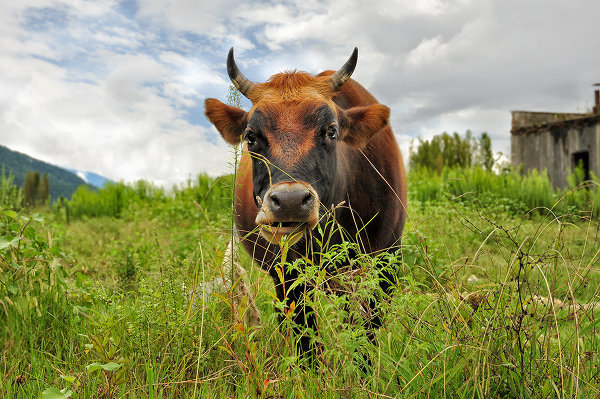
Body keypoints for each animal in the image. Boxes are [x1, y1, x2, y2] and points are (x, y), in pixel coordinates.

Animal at [204, 47, 406, 362]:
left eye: (331, 131)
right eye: (251, 136)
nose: (289, 202)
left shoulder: (386, 263)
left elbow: (365, 333)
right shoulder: (290, 275)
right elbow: (306, 340)